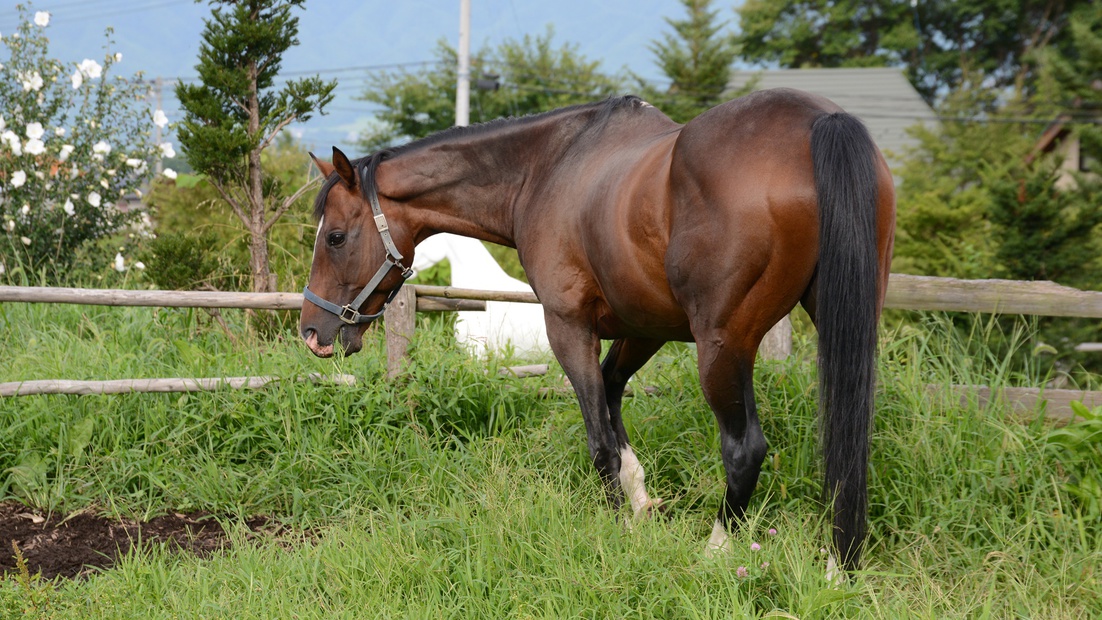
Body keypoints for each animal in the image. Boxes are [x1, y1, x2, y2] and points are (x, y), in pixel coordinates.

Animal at [299, 89, 894, 577]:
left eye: (334, 237)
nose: (312, 331)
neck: (547, 169)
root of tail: (819, 122)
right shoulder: (645, 327)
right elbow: (611, 396)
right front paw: (640, 502)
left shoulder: (569, 325)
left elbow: (599, 439)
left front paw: (618, 529)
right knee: (849, 440)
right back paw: (839, 565)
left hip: (723, 346)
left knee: (745, 448)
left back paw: (717, 552)